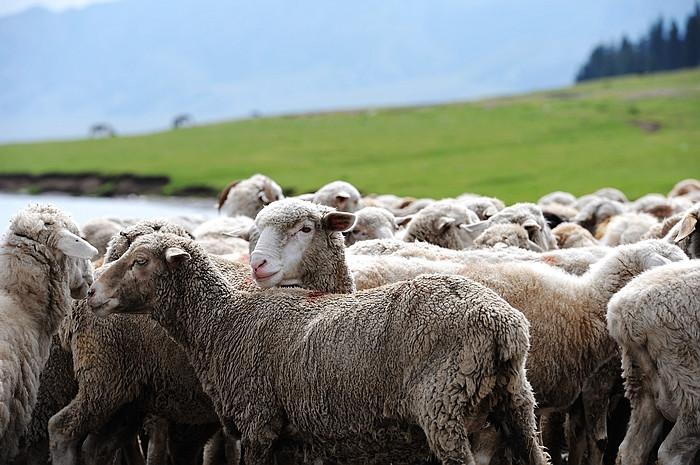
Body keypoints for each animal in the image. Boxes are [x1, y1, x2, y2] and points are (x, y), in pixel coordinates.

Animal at [86, 232, 548, 464]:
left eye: (140, 261)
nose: (90, 290)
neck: (221, 321)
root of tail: (503, 323)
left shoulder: (259, 423)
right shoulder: (296, 436)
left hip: (443, 408)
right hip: (518, 406)